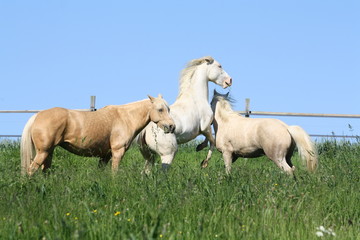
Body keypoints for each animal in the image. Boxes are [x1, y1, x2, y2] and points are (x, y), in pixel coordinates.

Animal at [20, 94, 175, 175]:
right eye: (160, 109)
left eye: (168, 109)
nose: (171, 126)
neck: (125, 118)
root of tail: (37, 116)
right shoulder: (117, 152)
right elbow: (114, 173)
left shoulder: (104, 156)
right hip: (43, 152)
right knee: (31, 170)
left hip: (49, 152)